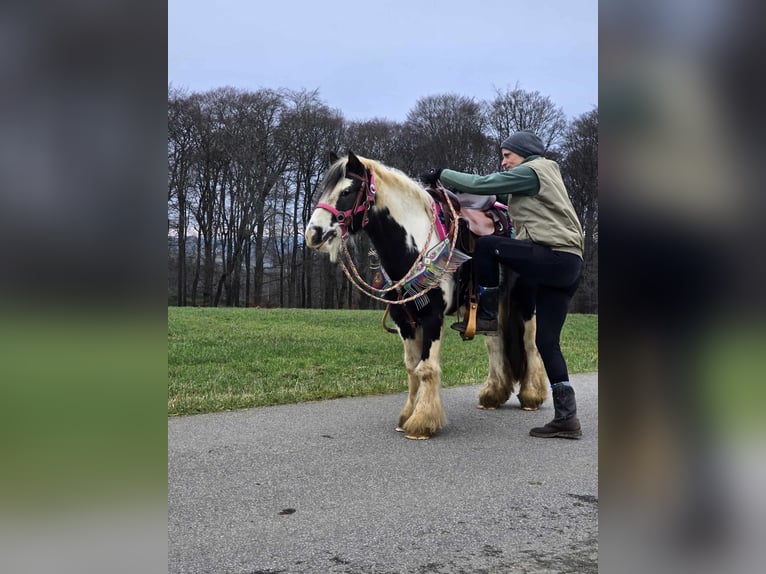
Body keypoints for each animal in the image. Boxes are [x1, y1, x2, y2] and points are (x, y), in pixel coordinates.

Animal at [304, 152, 548, 440]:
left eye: (347, 191)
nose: (313, 234)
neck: (416, 244)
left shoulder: (432, 317)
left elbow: (427, 368)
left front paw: (422, 422)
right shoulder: (404, 320)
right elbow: (412, 368)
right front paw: (407, 416)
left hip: (525, 301)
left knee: (530, 343)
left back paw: (532, 396)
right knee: (495, 342)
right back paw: (492, 394)